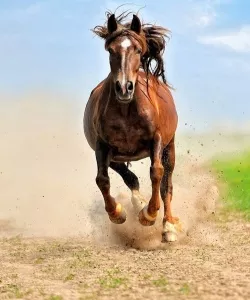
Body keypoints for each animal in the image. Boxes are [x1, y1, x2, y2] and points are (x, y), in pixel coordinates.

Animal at [83, 11, 180, 243]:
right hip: (115, 156)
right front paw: (117, 213)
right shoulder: (102, 145)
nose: (124, 88)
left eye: (137, 49)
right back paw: (138, 203)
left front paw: (149, 215)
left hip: (170, 148)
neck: (127, 110)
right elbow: (102, 180)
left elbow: (157, 173)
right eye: (111, 50)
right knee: (129, 177)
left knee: (167, 186)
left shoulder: (157, 140)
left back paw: (168, 226)